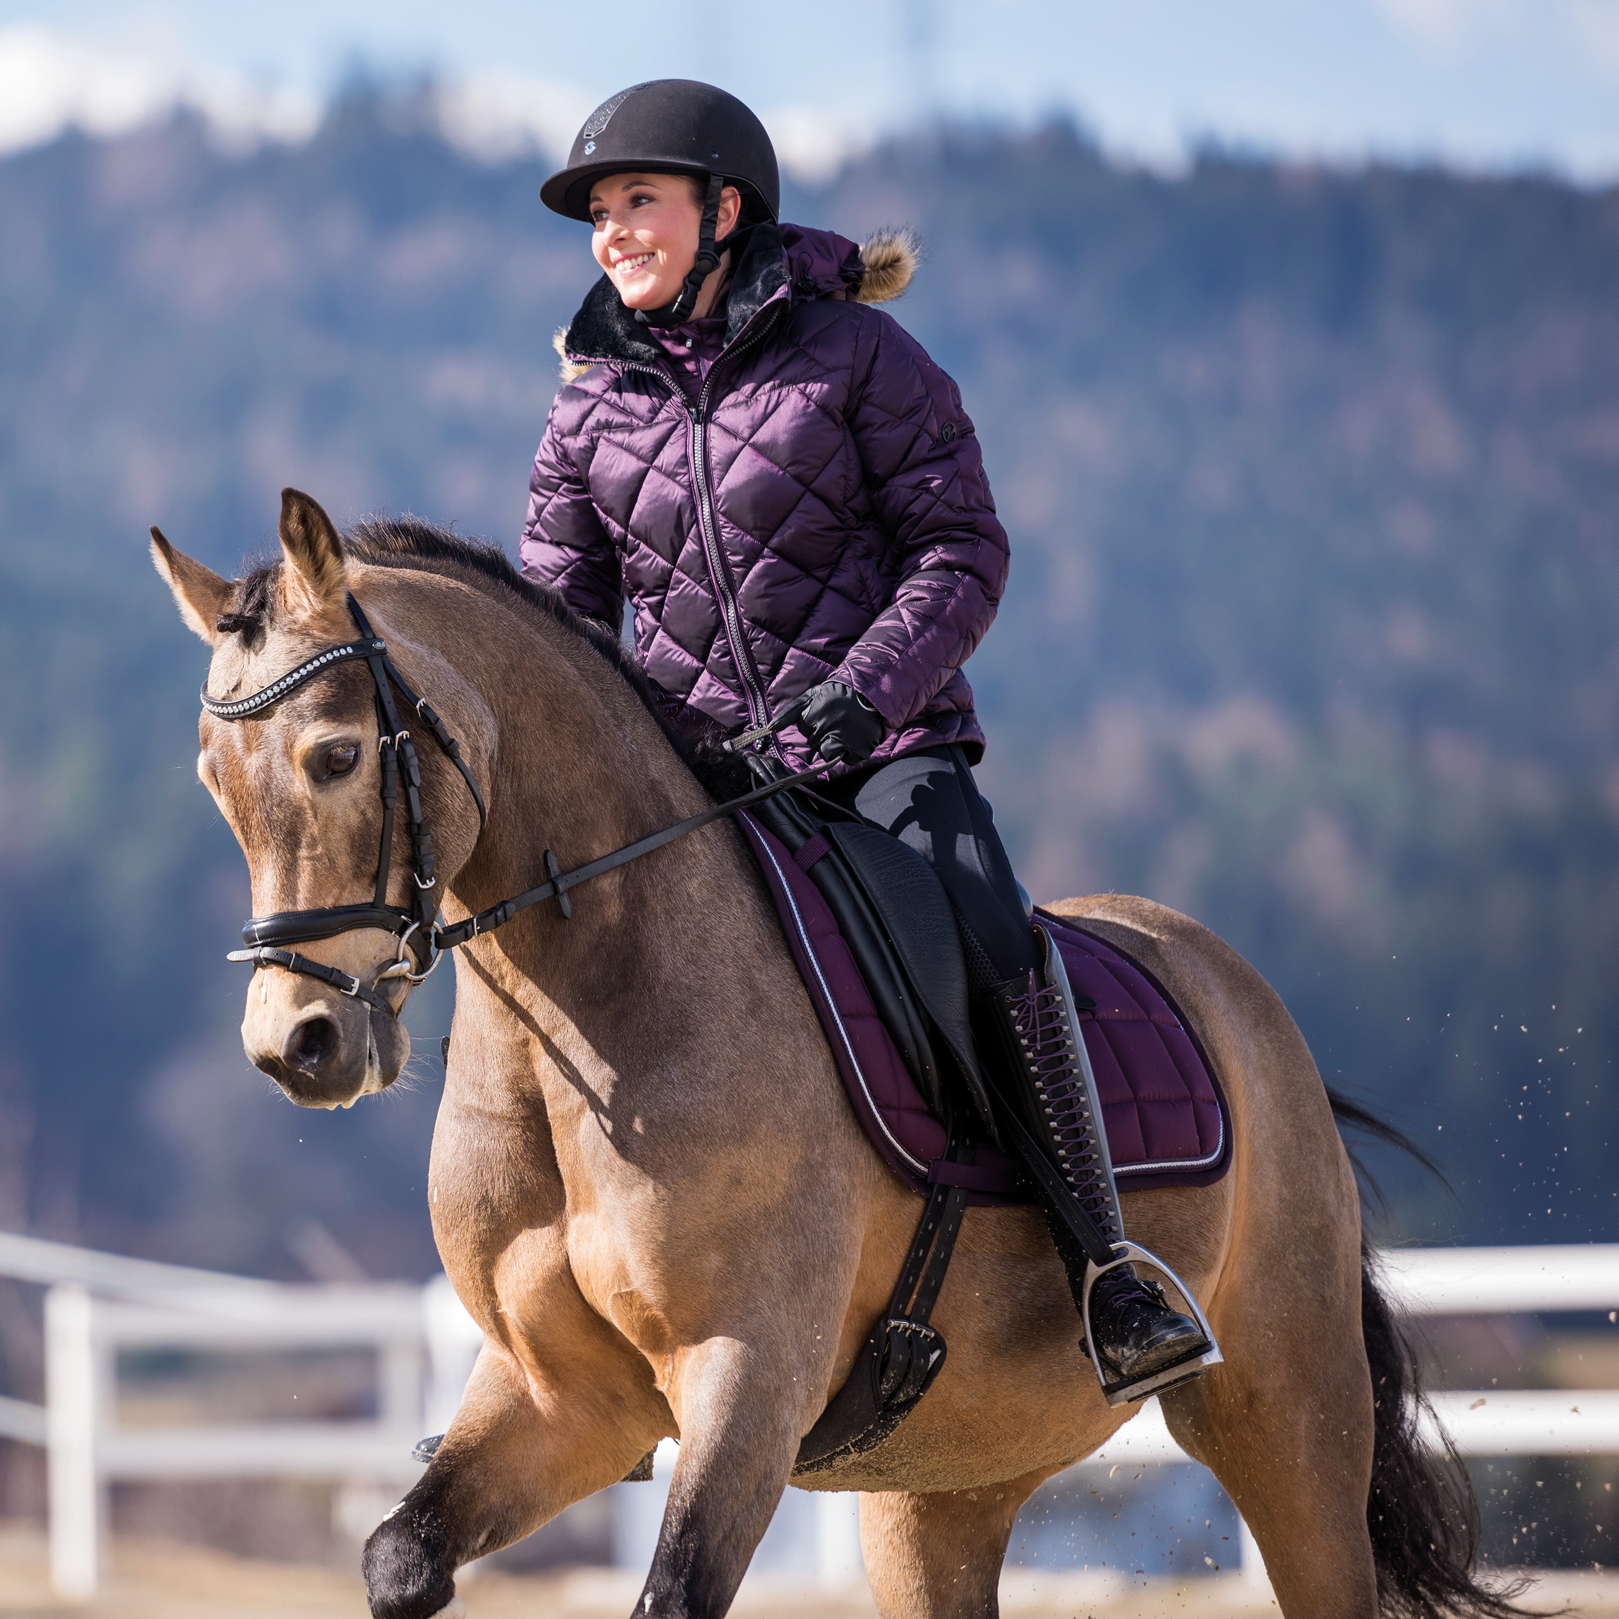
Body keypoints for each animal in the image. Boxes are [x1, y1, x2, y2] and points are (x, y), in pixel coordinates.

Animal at [152, 488, 1528, 1619]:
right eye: (211, 780)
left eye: (335, 754)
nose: (297, 1045)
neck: (592, 1016)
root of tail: (1241, 997)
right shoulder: (562, 1399)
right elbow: (399, 1554)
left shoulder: (745, 1380)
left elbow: (669, 1592)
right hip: (940, 1493)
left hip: (1287, 1421)